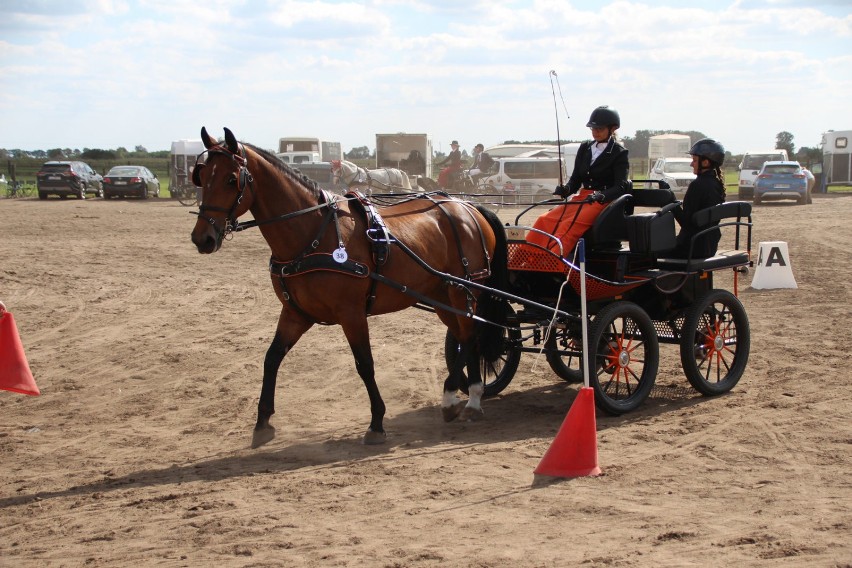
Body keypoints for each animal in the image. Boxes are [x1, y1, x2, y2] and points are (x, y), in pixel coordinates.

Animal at [189, 129, 506, 448]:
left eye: (232, 179)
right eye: (201, 175)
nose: (202, 238)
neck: (313, 233)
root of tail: (468, 208)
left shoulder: (351, 313)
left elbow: (364, 364)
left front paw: (376, 423)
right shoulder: (295, 313)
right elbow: (272, 358)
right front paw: (263, 422)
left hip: (463, 290)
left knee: (470, 335)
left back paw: (458, 398)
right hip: (443, 294)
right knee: (465, 336)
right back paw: (466, 398)